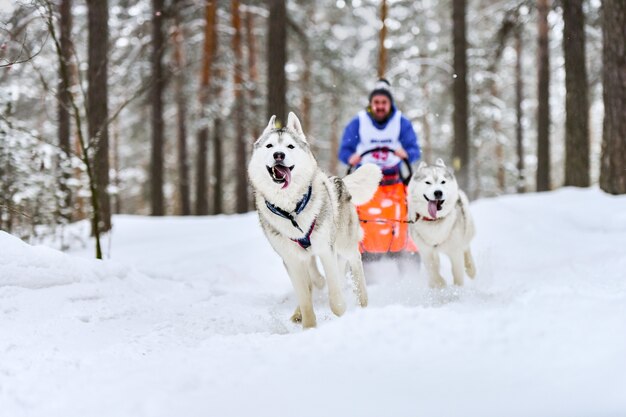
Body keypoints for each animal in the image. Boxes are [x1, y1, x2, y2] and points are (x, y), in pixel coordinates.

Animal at [249, 112, 380, 326]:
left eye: (289, 146)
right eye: (269, 146)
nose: (278, 155)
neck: (292, 211)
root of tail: (339, 181)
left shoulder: (326, 249)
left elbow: (335, 297)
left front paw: (341, 312)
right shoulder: (292, 259)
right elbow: (305, 299)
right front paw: (309, 326)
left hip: (344, 244)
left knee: (354, 262)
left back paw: (363, 303)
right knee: (314, 277)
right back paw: (300, 308)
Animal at [404, 158, 472, 288]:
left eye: (443, 182)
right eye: (428, 182)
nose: (438, 192)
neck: (434, 221)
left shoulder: (455, 251)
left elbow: (457, 273)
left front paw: (458, 290)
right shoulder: (426, 252)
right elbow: (433, 272)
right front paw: (439, 285)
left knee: (466, 247)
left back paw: (471, 269)